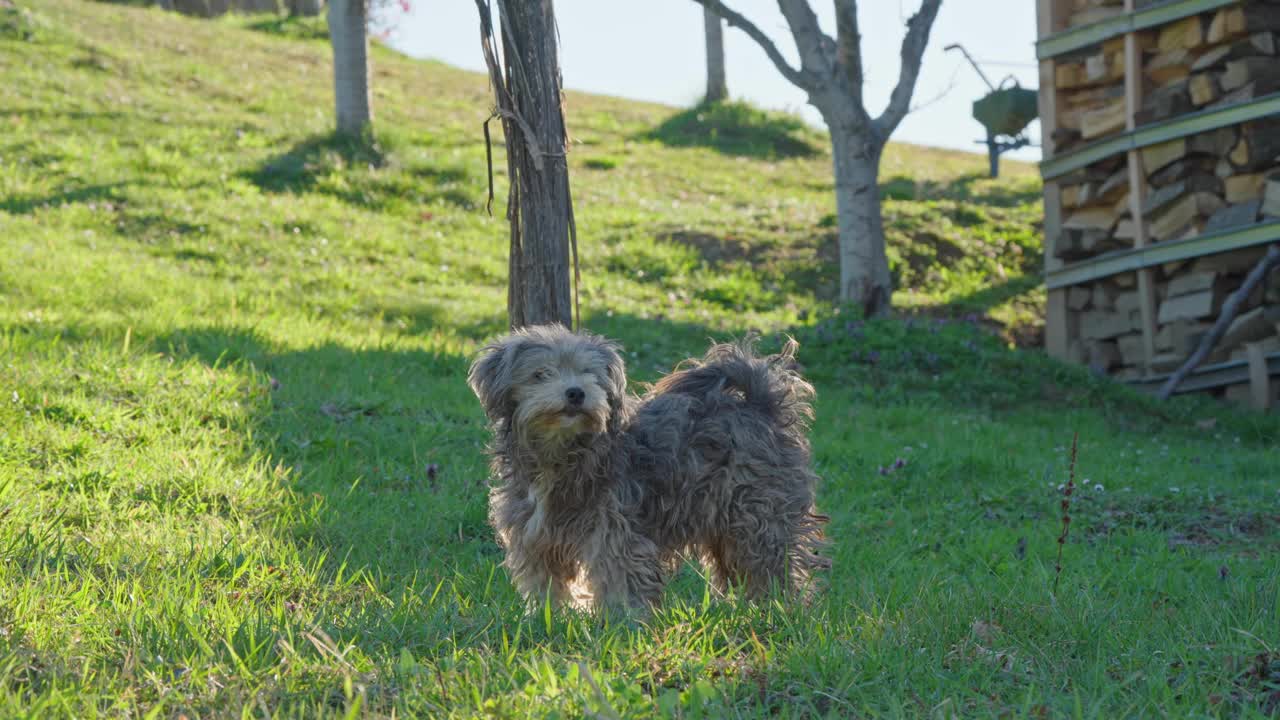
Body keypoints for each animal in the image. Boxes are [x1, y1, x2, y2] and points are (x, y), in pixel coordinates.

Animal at [471, 322, 829, 607]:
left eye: (590, 374)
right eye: (540, 374)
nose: (575, 392)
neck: (564, 454)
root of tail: (761, 404)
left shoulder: (615, 532)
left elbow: (620, 578)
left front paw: (621, 624)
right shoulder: (535, 535)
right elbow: (547, 583)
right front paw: (548, 618)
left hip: (759, 515)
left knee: (772, 565)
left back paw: (777, 610)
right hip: (725, 523)